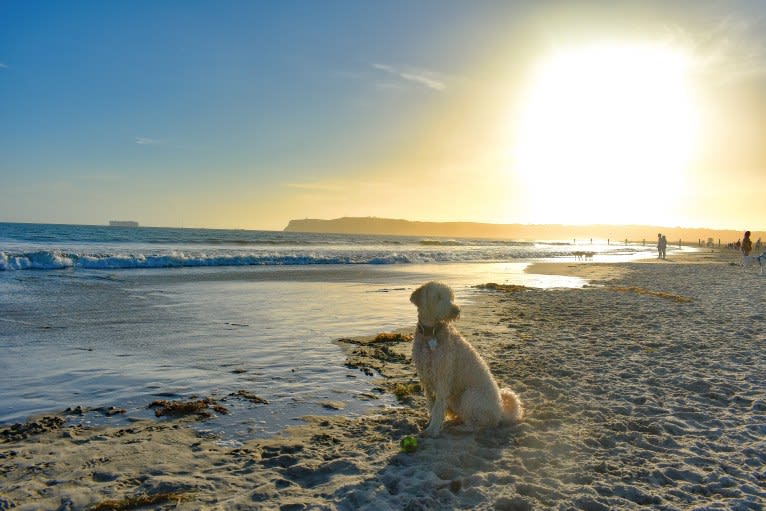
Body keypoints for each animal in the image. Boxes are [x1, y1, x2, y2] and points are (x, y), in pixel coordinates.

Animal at [412, 282, 524, 438]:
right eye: (438, 297)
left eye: (451, 297)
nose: (456, 310)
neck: (430, 334)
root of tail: (500, 411)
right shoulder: (425, 378)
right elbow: (431, 404)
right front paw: (430, 423)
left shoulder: (442, 378)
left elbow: (438, 407)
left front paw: (432, 430)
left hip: (469, 396)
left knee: (477, 426)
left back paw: (459, 428)